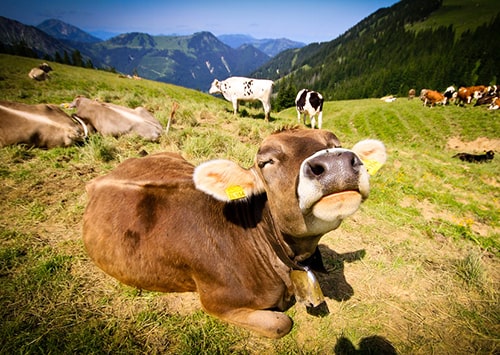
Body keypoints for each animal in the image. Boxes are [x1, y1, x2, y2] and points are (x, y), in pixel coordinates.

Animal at [83, 128, 386, 340]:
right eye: (266, 162)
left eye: (335, 144)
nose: (335, 163)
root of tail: (101, 178)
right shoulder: (216, 302)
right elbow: (282, 323)